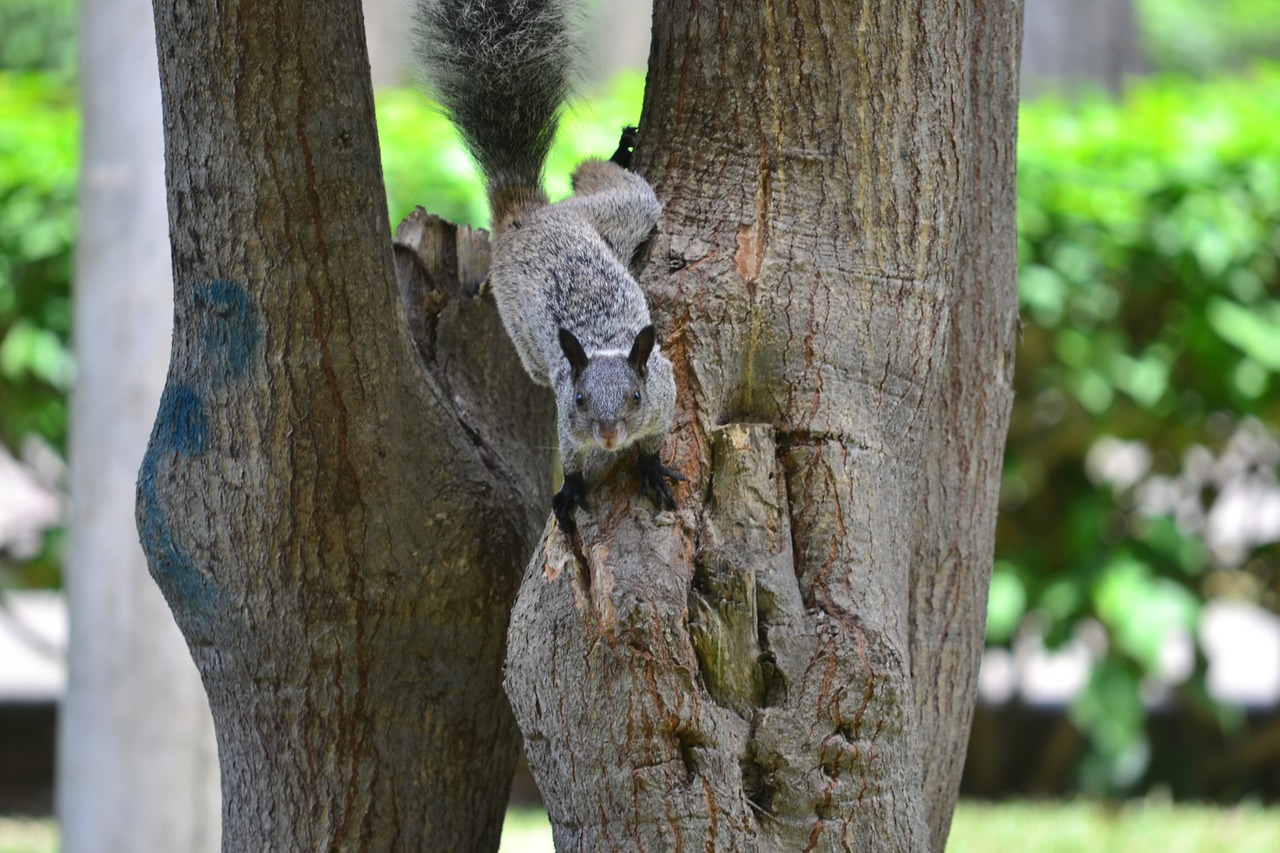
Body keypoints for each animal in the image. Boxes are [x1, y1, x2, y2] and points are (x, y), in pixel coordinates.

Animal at [414, 0, 686, 527]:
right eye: (580, 399)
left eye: (635, 396)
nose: (608, 435)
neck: (602, 344)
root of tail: (528, 217)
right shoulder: (564, 413)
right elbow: (572, 456)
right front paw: (571, 488)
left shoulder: (665, 392)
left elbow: (656, 439)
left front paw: (652, 468)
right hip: (526, 328)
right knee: (585, 172)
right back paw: (618, 150)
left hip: (621, 213)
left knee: (598, 178)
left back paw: (620, 150)